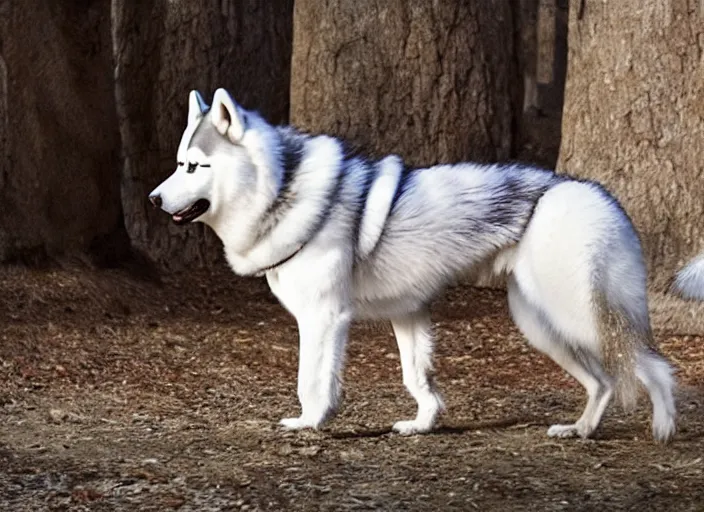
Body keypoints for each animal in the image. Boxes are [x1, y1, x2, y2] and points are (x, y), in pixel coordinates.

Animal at [150, 88, 676, 440]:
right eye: (178, 163)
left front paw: (311, 423)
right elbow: (416, 378)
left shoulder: (324, 319)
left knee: (652, 364)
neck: (283, 191)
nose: (153, 199)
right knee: (604, 382)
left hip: (576, 317)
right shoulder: (407, 315)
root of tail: (597, 194)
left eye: (194, 167)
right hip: (541, 326)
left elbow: (310, 382)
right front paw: (423, 423)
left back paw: (665, 426)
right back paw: (580, 430)